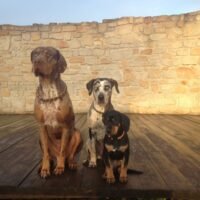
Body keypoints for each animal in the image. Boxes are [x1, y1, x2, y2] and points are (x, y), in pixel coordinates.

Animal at [30, 46, 82, 178]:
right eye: (35, 54)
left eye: (49, 54)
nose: (37, 61)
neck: (49, 88)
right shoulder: (42, 127)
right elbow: (45, 154)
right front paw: (45, 168)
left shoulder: (65, 126)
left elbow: (63, 150)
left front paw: (60, 167)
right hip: (40, 138)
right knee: (49, 155)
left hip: (77, 134)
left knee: (69, 155)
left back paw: (70, 163)